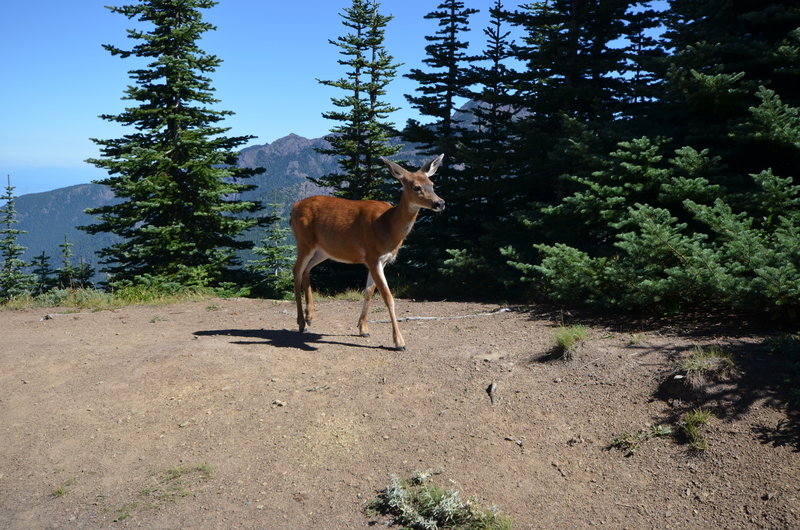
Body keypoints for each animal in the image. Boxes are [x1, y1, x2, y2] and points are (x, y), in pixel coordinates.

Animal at [290, 155, 446, 348]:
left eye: (432, 184)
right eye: (416, 187)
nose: (440, 203)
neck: (388, 226)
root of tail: (294, 207)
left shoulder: (381, 260)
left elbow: (368, 292)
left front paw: (363, 328)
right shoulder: (373, 256)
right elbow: (388, 297)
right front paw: (399, 341)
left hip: (323, 250)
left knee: (306, 269)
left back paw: (310, 316)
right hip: (304, 241)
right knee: (296, 270)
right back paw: (301, 323)